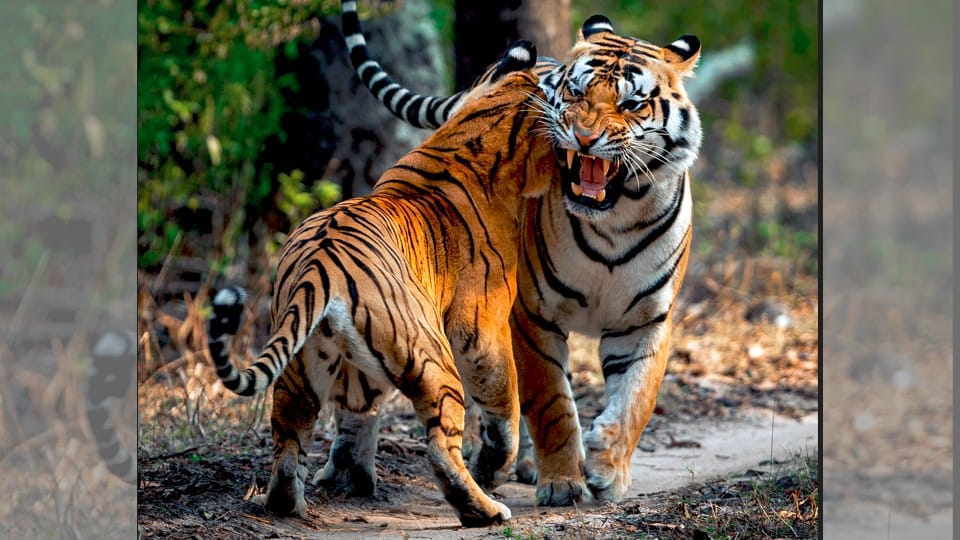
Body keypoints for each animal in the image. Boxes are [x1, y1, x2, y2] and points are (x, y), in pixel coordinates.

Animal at [205, 40, 559, 527]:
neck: (485, 120)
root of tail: (320, 263)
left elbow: (357, 411)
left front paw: (349, 475)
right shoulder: (482, 327)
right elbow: (503, 400)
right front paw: (496, 463)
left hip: (302, 364)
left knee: (289, 428)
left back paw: (287, 501)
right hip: (432, 356)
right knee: (441, 445)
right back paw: (484, 509)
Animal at [341, 2, 702, 506]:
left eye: (631, 104)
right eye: (576, 92)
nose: (584, 137)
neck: (614, 220)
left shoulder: (646, 320)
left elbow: (636, 399)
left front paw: (607, 467)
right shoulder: (531, 317)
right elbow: (550, 403)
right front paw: (564, 483)